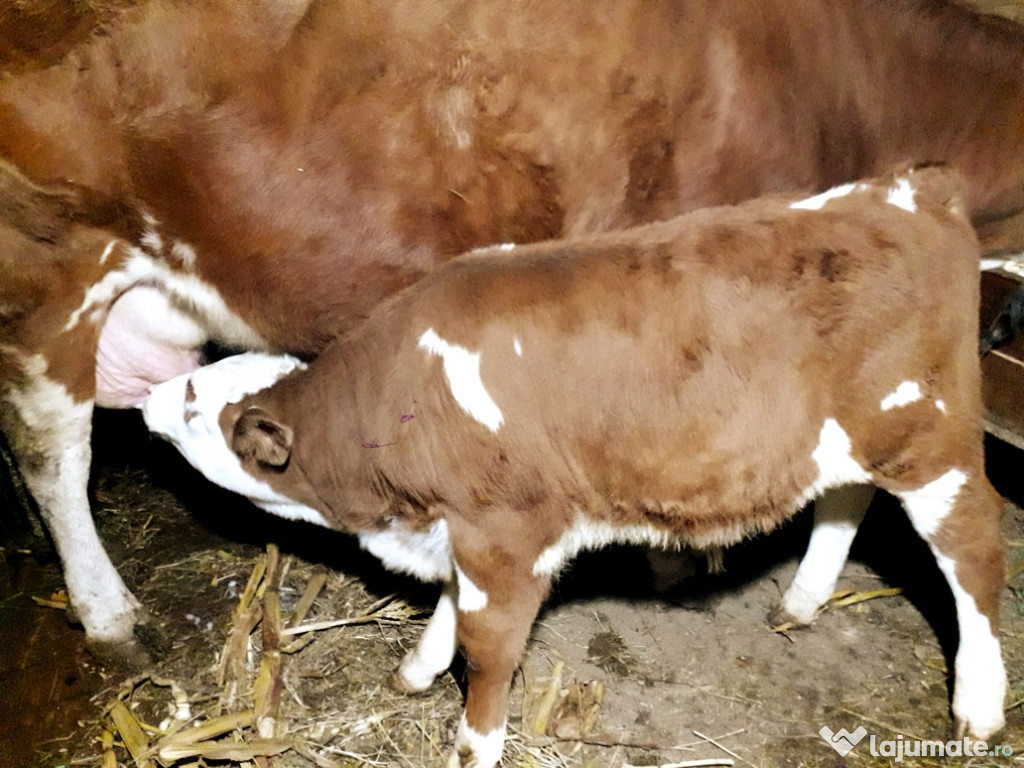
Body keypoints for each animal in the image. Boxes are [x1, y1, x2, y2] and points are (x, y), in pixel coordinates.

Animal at [142, 167, 1006, 768]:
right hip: (849, 439)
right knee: (845, 500)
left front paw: (472, 744)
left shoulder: (508, 534)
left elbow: (489, 645)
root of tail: (912, 186)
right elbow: (451, 610)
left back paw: (980, 704)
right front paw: (417, 671)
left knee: (974, 546)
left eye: (193, 398)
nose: (145, 397)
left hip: (930, 436)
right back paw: (801, 600)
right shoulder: (467, 526)